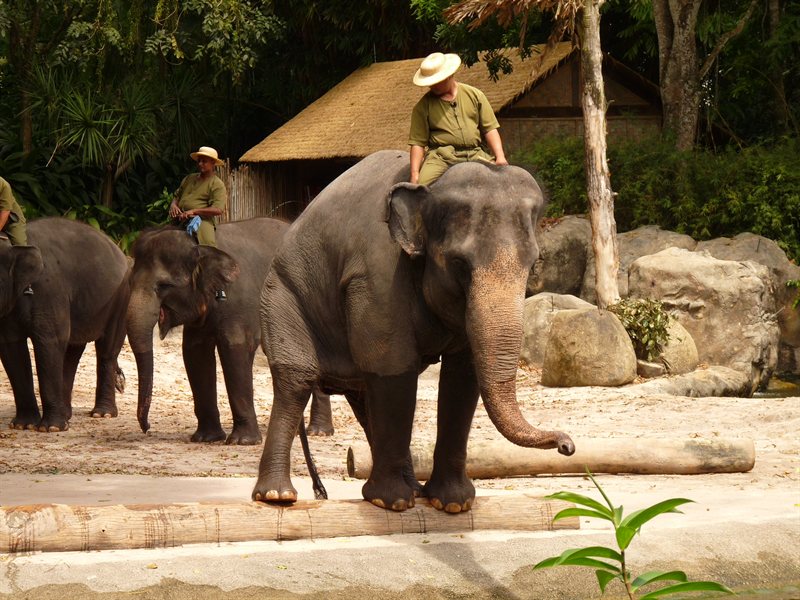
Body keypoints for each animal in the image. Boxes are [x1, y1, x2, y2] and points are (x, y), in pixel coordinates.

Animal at [0, 217, 130, 431]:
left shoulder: (48, 291)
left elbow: (49, 342)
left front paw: (50, 428)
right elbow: (12, 348)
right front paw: (23, 425)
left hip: (120, 298)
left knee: (107, 350)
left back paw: (102, 414)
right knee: (72, 352)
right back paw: (67, 415)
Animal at [126, 217, 333, 445]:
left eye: (164, 285)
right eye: (129, 282)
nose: (147, 428)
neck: (201, 245)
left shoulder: (240, 304)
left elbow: (235, 350)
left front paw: (243, 441)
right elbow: (194, 353)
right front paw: (206, 438)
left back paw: (319, 432)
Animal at [252, 150, 575, 513]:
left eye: (532, 265)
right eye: (460, 265)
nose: (567, 445)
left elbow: (461, 377)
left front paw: (453, 504)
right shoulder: (377, 274)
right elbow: (393, 366)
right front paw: (392, 502)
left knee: (363, 398)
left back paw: (413, 490)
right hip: (281, 296)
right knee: (297, 378)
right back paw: (277, 496)